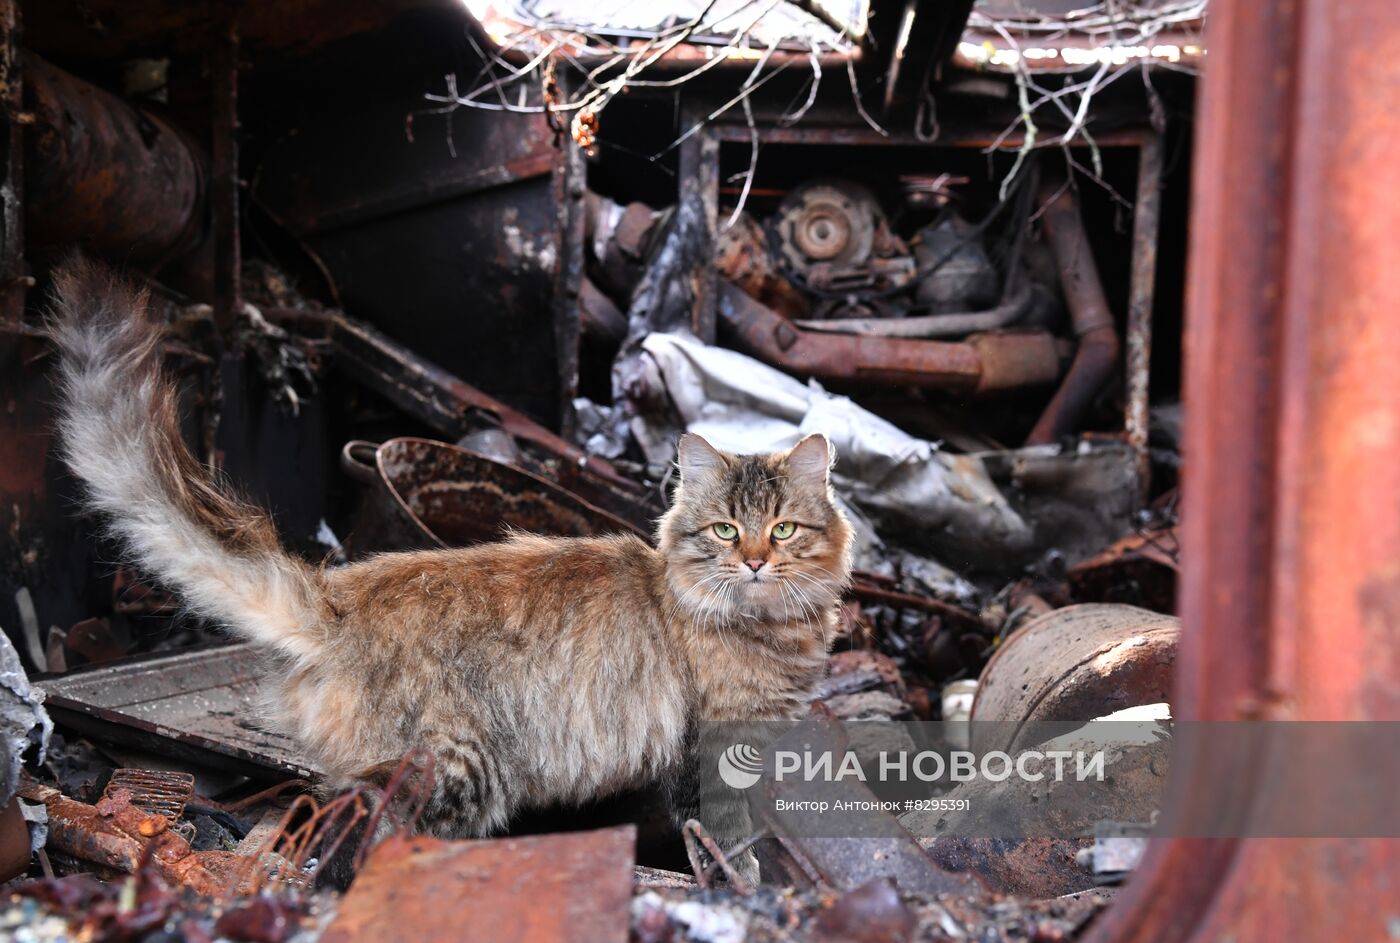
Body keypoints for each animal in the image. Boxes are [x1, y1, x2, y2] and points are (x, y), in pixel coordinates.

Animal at [46, 258, 851, 873]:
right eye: (725, 531)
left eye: (782, 529)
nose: (755, 561)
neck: (769, 624)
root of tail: (338, 598)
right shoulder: (714, 749)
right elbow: (727, 839)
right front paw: (741, 886)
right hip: (459, 761)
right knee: (371, 820)